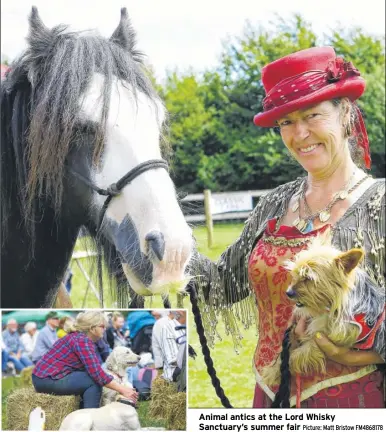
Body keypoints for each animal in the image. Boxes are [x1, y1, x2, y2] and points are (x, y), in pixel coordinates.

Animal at [260, 235, 384, 386]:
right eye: (295, 273)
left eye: (308, 278)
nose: (288, 293)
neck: (331, 304)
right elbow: (286, 350)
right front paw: (274, 369)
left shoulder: (326, 337)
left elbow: (295, 356)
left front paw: (274, 373)